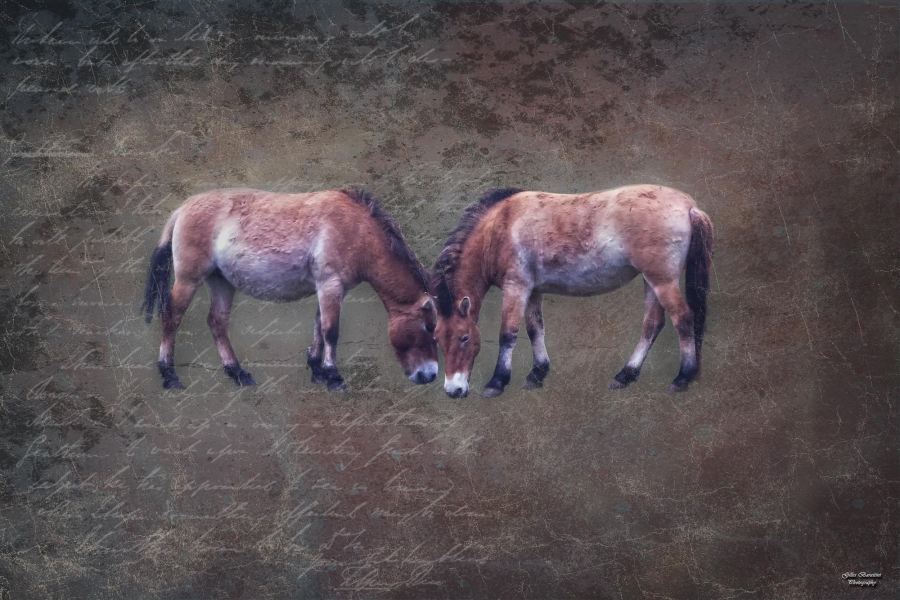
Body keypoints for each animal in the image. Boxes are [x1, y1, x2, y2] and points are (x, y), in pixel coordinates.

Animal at [142, 187, 439, 391]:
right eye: (428, 328)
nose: (430, 375)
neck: (355, 228)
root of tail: (183, 208)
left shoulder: (330, 289)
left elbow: (319, 326)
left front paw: (317, 371)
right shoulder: (330, 285)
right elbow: (331, 331)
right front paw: (334, 378)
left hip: (221, 281)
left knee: (217, 322)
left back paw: (238, 373)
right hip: (189, 280)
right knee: (171, 317)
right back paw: (169, 375)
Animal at [431, 185, 713, 399]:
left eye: (464, 338)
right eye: (437, 340)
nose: (453, 390)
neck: (500, 227)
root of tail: (689, 206)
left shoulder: (516, 288)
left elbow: (508, 335)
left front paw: (497, 382)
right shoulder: (533, 292)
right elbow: (535, 330)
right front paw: (537, 374)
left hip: (662, 280)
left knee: (683, 319)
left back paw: (683, 377)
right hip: (651, 281)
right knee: (652, 324)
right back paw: (625, 375)